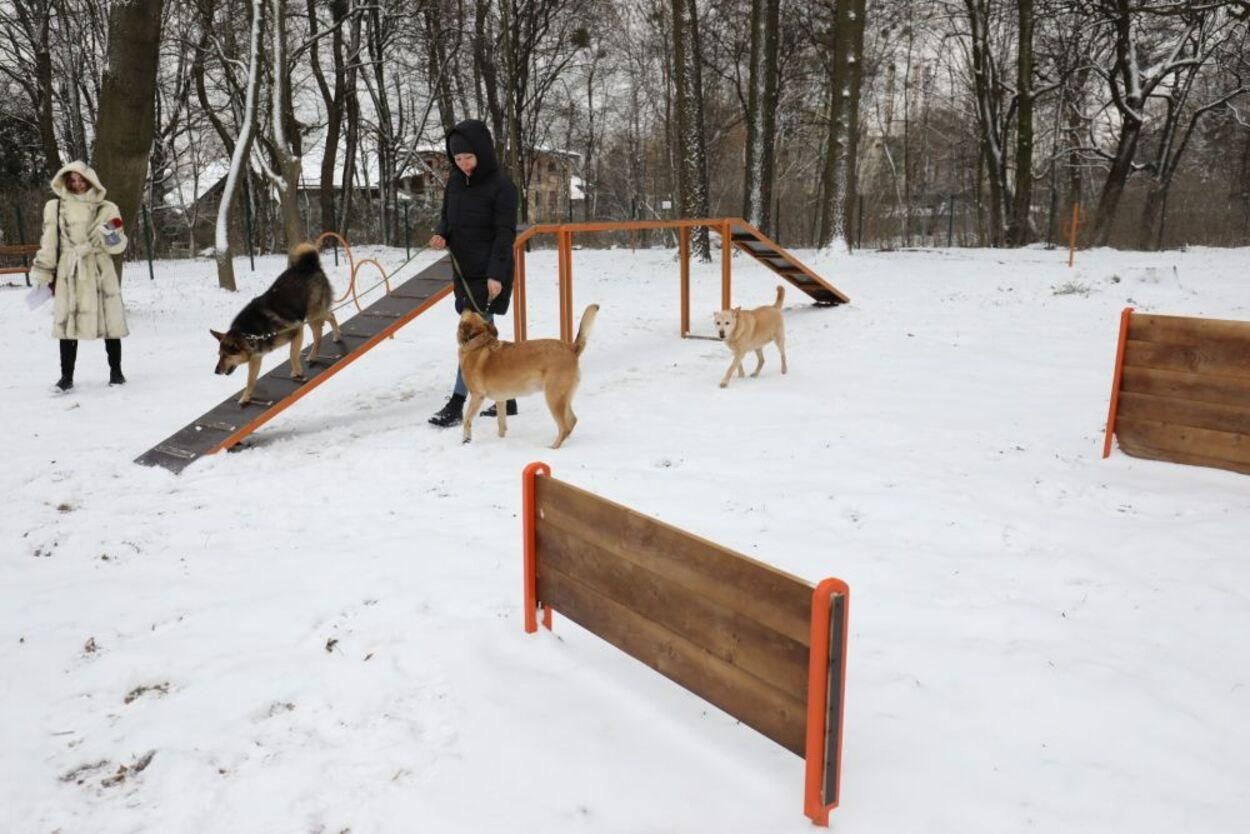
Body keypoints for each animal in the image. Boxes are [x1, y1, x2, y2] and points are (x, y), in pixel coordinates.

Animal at [212, 242, 342, 405]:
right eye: (219, 355)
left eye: (226, 355)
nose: (216, 371)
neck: (249, 334)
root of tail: (309, 265)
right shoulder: (256, 358)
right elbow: (250, 380)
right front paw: (246, 397)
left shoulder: (297, 329)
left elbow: (292, 354)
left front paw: (297, 372)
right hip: (315, 314)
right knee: (331, 315)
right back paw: (337, 336)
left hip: (312, 315)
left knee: (319, 334)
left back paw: (314, 355)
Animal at [460, 305, 600, 450]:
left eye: (469, 312)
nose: (466, 306)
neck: (477, 340)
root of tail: (571, 348)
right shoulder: (501, 400)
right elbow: (501, 424)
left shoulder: (477, 396)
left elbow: (467, 420)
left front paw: (466, 440)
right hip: (563, 398)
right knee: (572, 421)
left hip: (554, 397)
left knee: (565, 426)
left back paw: (554, 447)